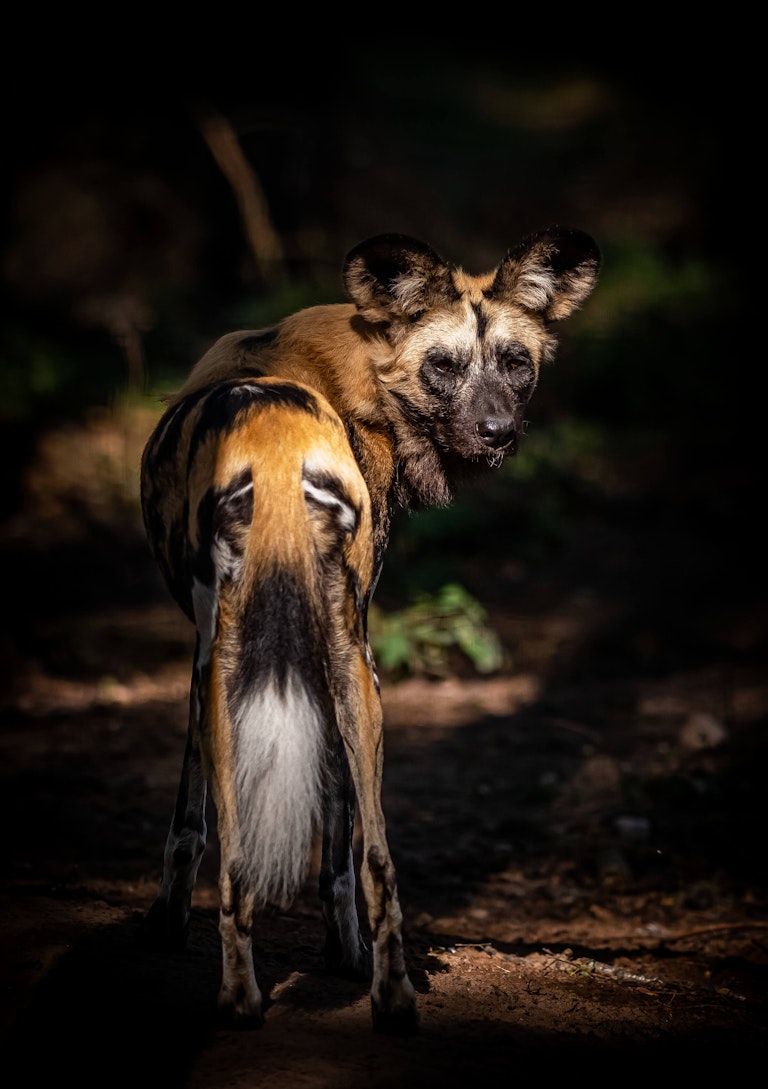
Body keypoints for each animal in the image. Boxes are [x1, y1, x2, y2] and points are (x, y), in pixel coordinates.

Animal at [140, 227, 601, 1028]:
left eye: (516, 362)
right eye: (443, 365)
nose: (497, 432)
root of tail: (276, 436)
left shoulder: (209, 655)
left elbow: (191, 826)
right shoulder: (283, 654)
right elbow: (306, 839)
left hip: (285, 667)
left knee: (291, 859)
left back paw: (286, 989)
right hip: (349, 671)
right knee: (371, 856)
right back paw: (376, 995)